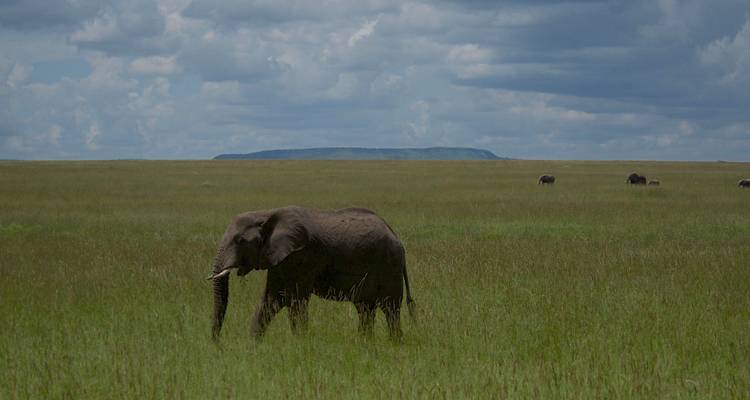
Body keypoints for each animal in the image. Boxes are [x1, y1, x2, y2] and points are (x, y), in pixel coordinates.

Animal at [207, 206, 415, 341]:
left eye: (240, 240)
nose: (217, 344)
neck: (266, 214)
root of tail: (396, 236)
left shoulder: (302, 256)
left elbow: (295, 300)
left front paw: (300, 343)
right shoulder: (279, 259)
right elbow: (271, 300)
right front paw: (253, 345)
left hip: (389, 266)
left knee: (390, 308)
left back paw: (394, 342)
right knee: (365, 308)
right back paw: (365, 342)